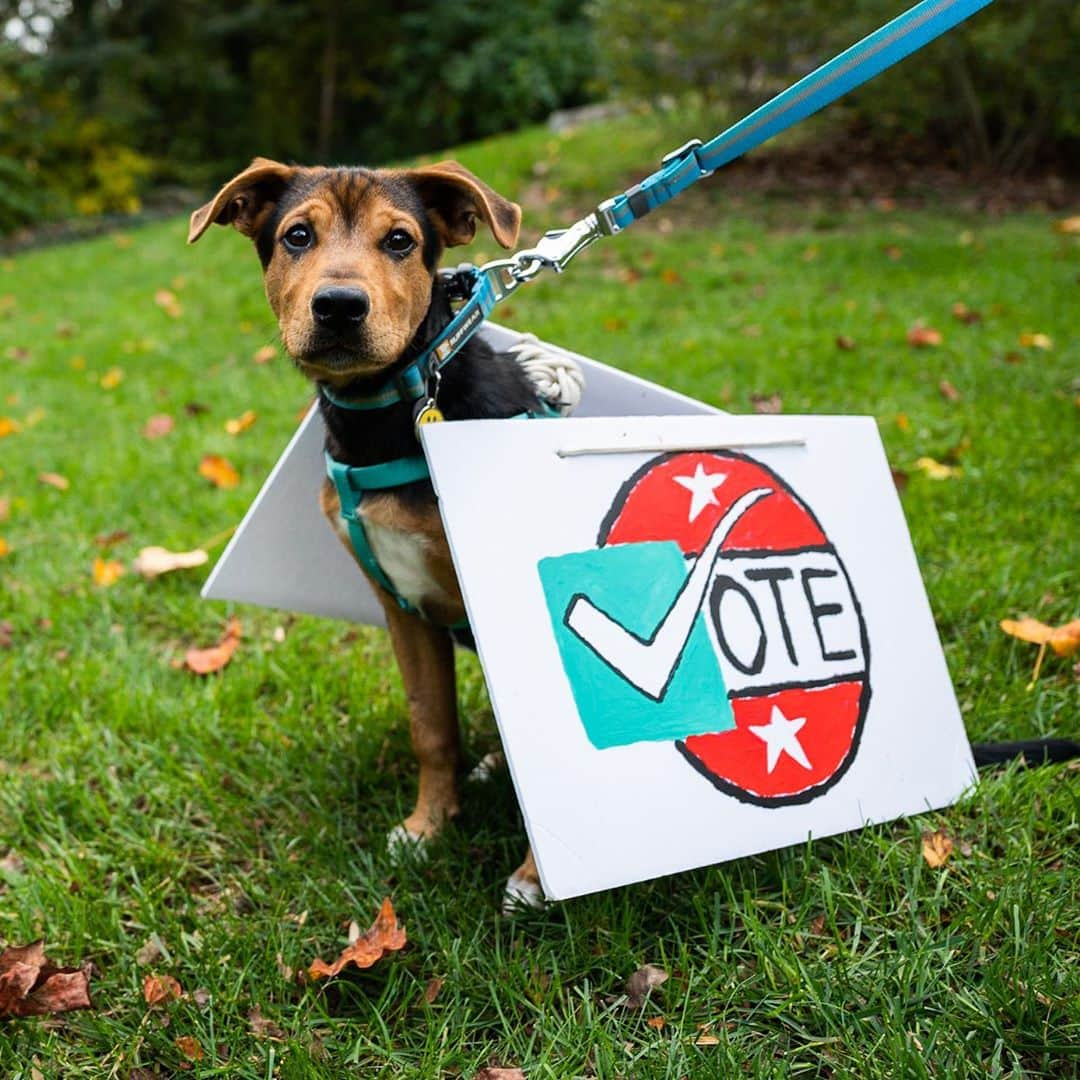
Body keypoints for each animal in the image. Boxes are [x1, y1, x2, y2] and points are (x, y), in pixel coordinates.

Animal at [186, 156, 552, 907]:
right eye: (297, 235)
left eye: (400, 241)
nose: (339, 306)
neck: (390, 410)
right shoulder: (404, 608)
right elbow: (430, 728)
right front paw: (427, 827)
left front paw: (536, 876)